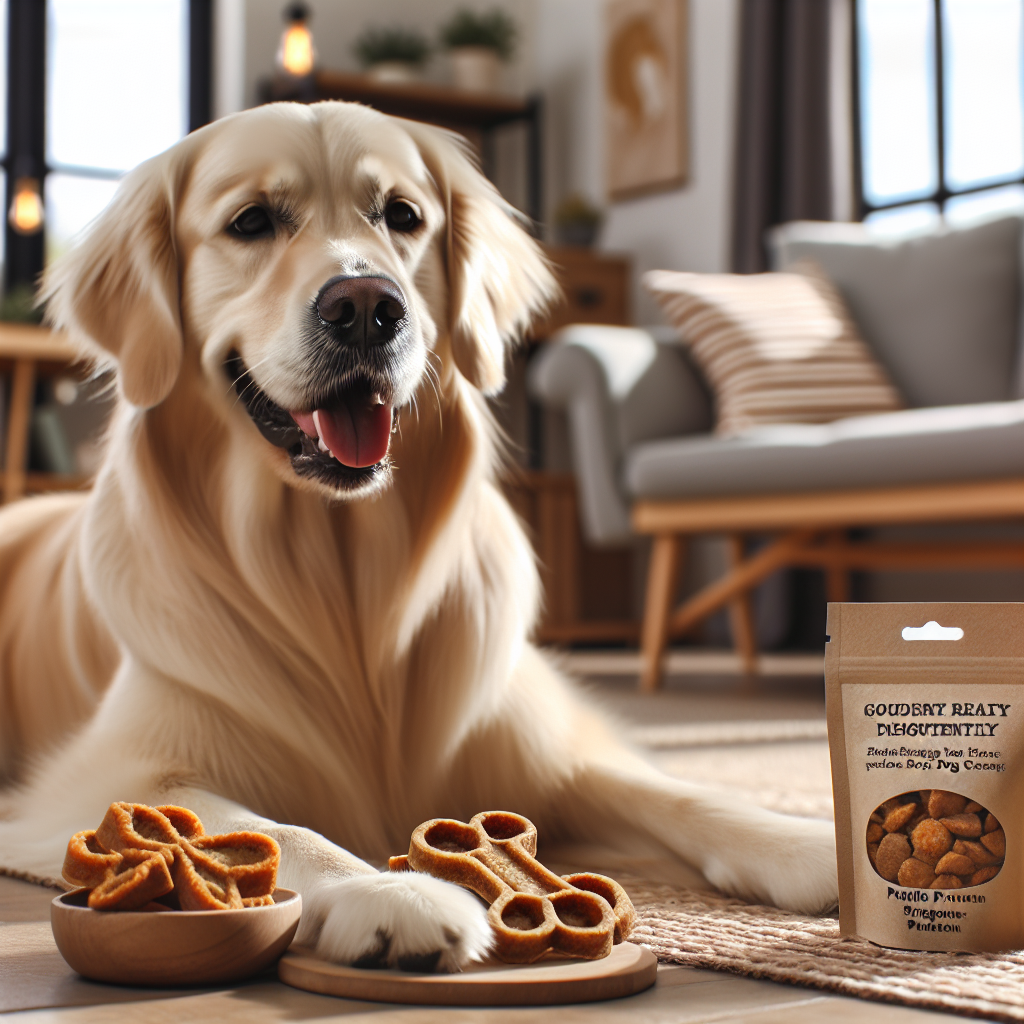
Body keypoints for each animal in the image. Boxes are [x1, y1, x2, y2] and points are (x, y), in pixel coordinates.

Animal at [0, 97, 835, 966]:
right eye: (251, 221)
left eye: (402, 216)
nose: (367, 307)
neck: (342, 572)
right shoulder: (107, 776)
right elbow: (277, 826)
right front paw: (392, 893)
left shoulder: (543, 749)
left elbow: (671, 790)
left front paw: (804, 840)